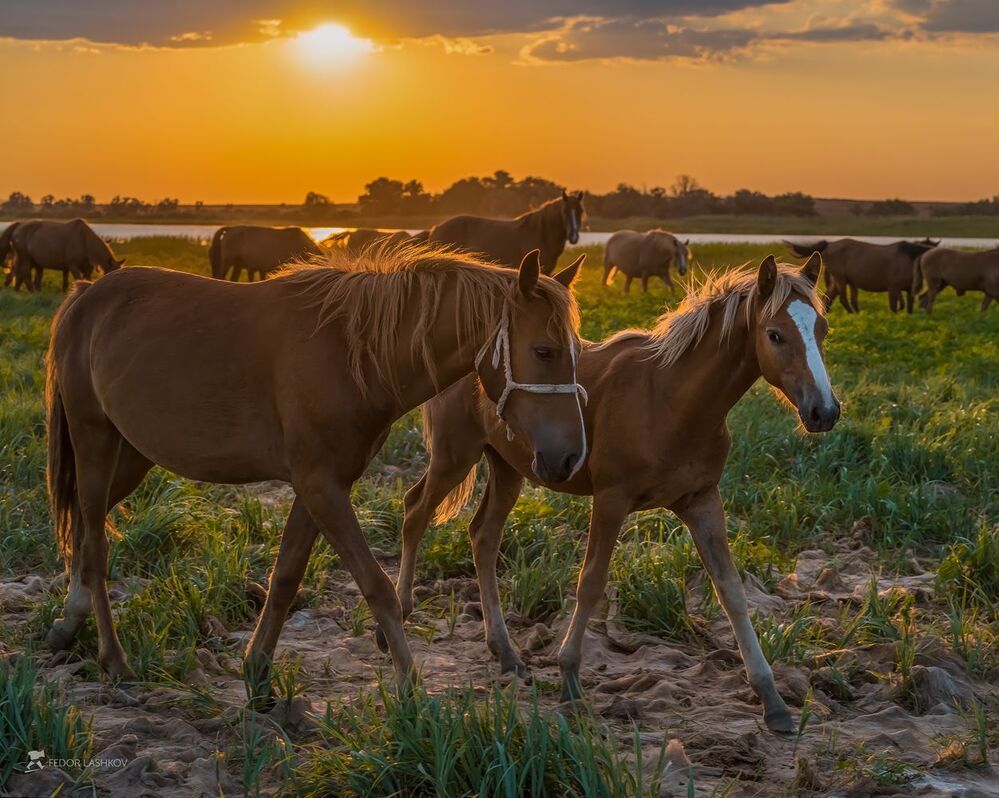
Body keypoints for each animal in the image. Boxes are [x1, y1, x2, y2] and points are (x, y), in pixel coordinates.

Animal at [45, 245, 588, 701]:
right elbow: (376, 586)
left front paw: (257, 672)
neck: (350, 353)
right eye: (543, 351)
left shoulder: (318, 487)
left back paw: (68, 623)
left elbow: (286, 577)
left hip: (132, 455)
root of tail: (86, 295)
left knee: (82, 530)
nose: (569, 457)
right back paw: (114, 661)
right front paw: (411, 689)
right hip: (94, 443)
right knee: (95, 546)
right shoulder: (321, 486)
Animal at [387, 253, 839, 734]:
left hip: (508, 469)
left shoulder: (702, 501)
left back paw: (506, 653)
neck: (671, 399)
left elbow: (732, 592)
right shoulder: (611, 499)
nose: (824, 412)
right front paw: (569, 676)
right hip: (455, 457)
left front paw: (772, 699)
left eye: (822, 329)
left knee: (483, 538)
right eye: (775, 334)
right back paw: (398, 614)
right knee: (415, 511)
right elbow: (591, 582)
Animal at [784, 238, 935, 313]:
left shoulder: (908, 290)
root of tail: (829, 244)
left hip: (841, 280)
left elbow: (907, 306)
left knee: (829, 297)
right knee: (842, 298)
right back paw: (852, 312)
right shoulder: (893, 287)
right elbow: (895, 306)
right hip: (840, 278)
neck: (909, 257)